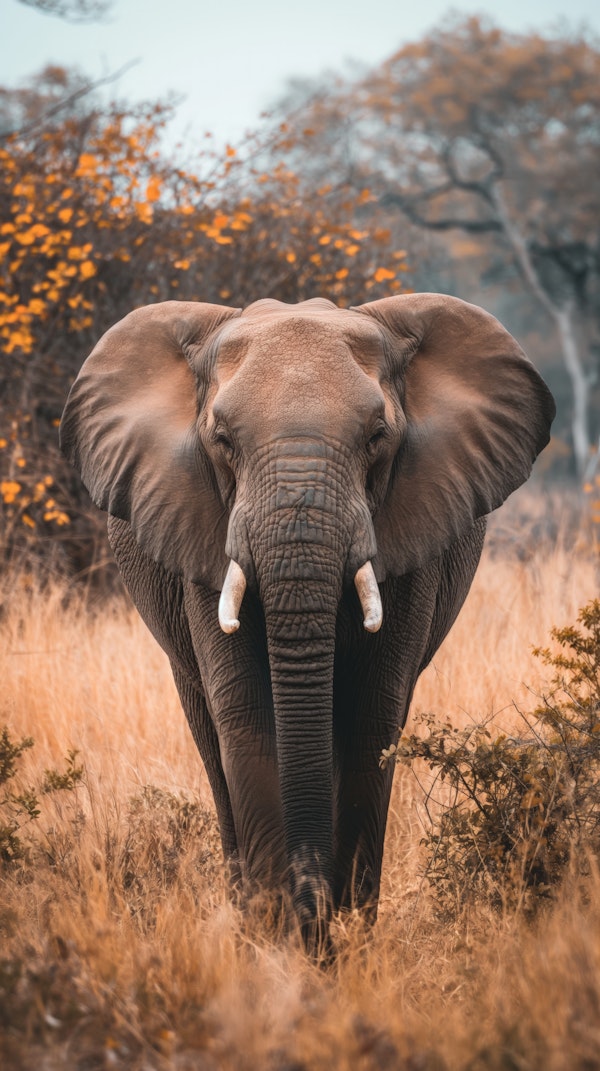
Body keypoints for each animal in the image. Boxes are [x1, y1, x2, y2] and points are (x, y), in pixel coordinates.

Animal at [58, 291, 557, 946]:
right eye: (222, 439)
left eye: (377, 436)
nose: (313, 919)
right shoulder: (202, 535)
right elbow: (246, 717)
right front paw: (280, 948)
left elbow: (372, 715)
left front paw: (344, 945)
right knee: (211, 743)